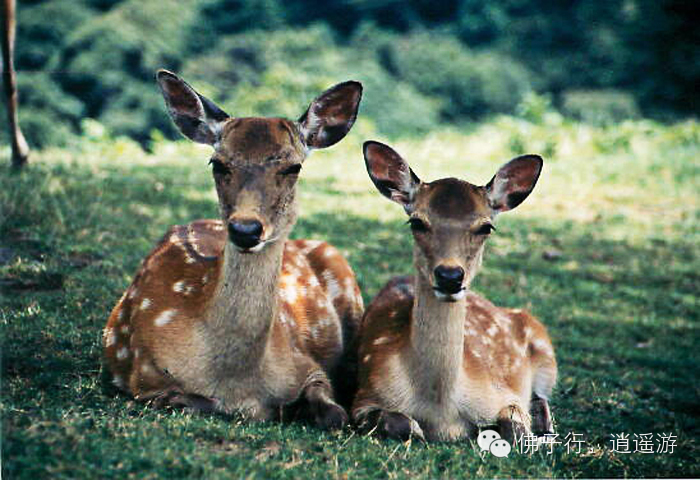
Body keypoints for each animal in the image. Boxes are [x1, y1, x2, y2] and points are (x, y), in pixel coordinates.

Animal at [102, 70, 364, 430]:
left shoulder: (307, 365)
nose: (245, 229)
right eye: (218, 163)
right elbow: (197, 401)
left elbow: (336, 414)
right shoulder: (144, 377)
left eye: (293, 167)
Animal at [352, 141, 557, 443]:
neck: (441, 410)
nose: (450, 276)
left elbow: (517, 430)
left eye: (486, 226)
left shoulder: (504, 394)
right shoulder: (364, 396)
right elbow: (398, 423)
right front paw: (416, 428)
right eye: (417, 222)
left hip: (545, 353)